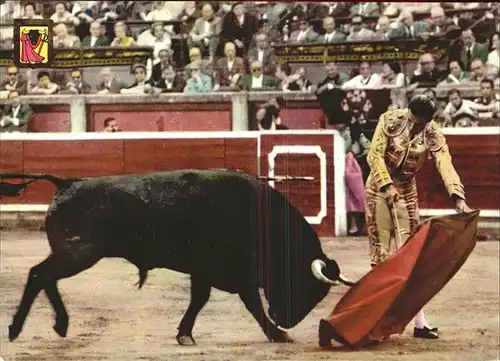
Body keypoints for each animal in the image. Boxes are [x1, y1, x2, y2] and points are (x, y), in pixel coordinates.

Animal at [0, 169, 354, 344]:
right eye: (310, 288)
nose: (286, 319)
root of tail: (67, 182)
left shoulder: (206, 271)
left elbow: (199, 299)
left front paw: (184, 333)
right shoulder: (234, 271)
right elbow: (249, 303)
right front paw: (277, 334)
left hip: (74, 253)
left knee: (44, 276)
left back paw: (55, 326)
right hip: (79, 252)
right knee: (39, 274)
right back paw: (25, 328)